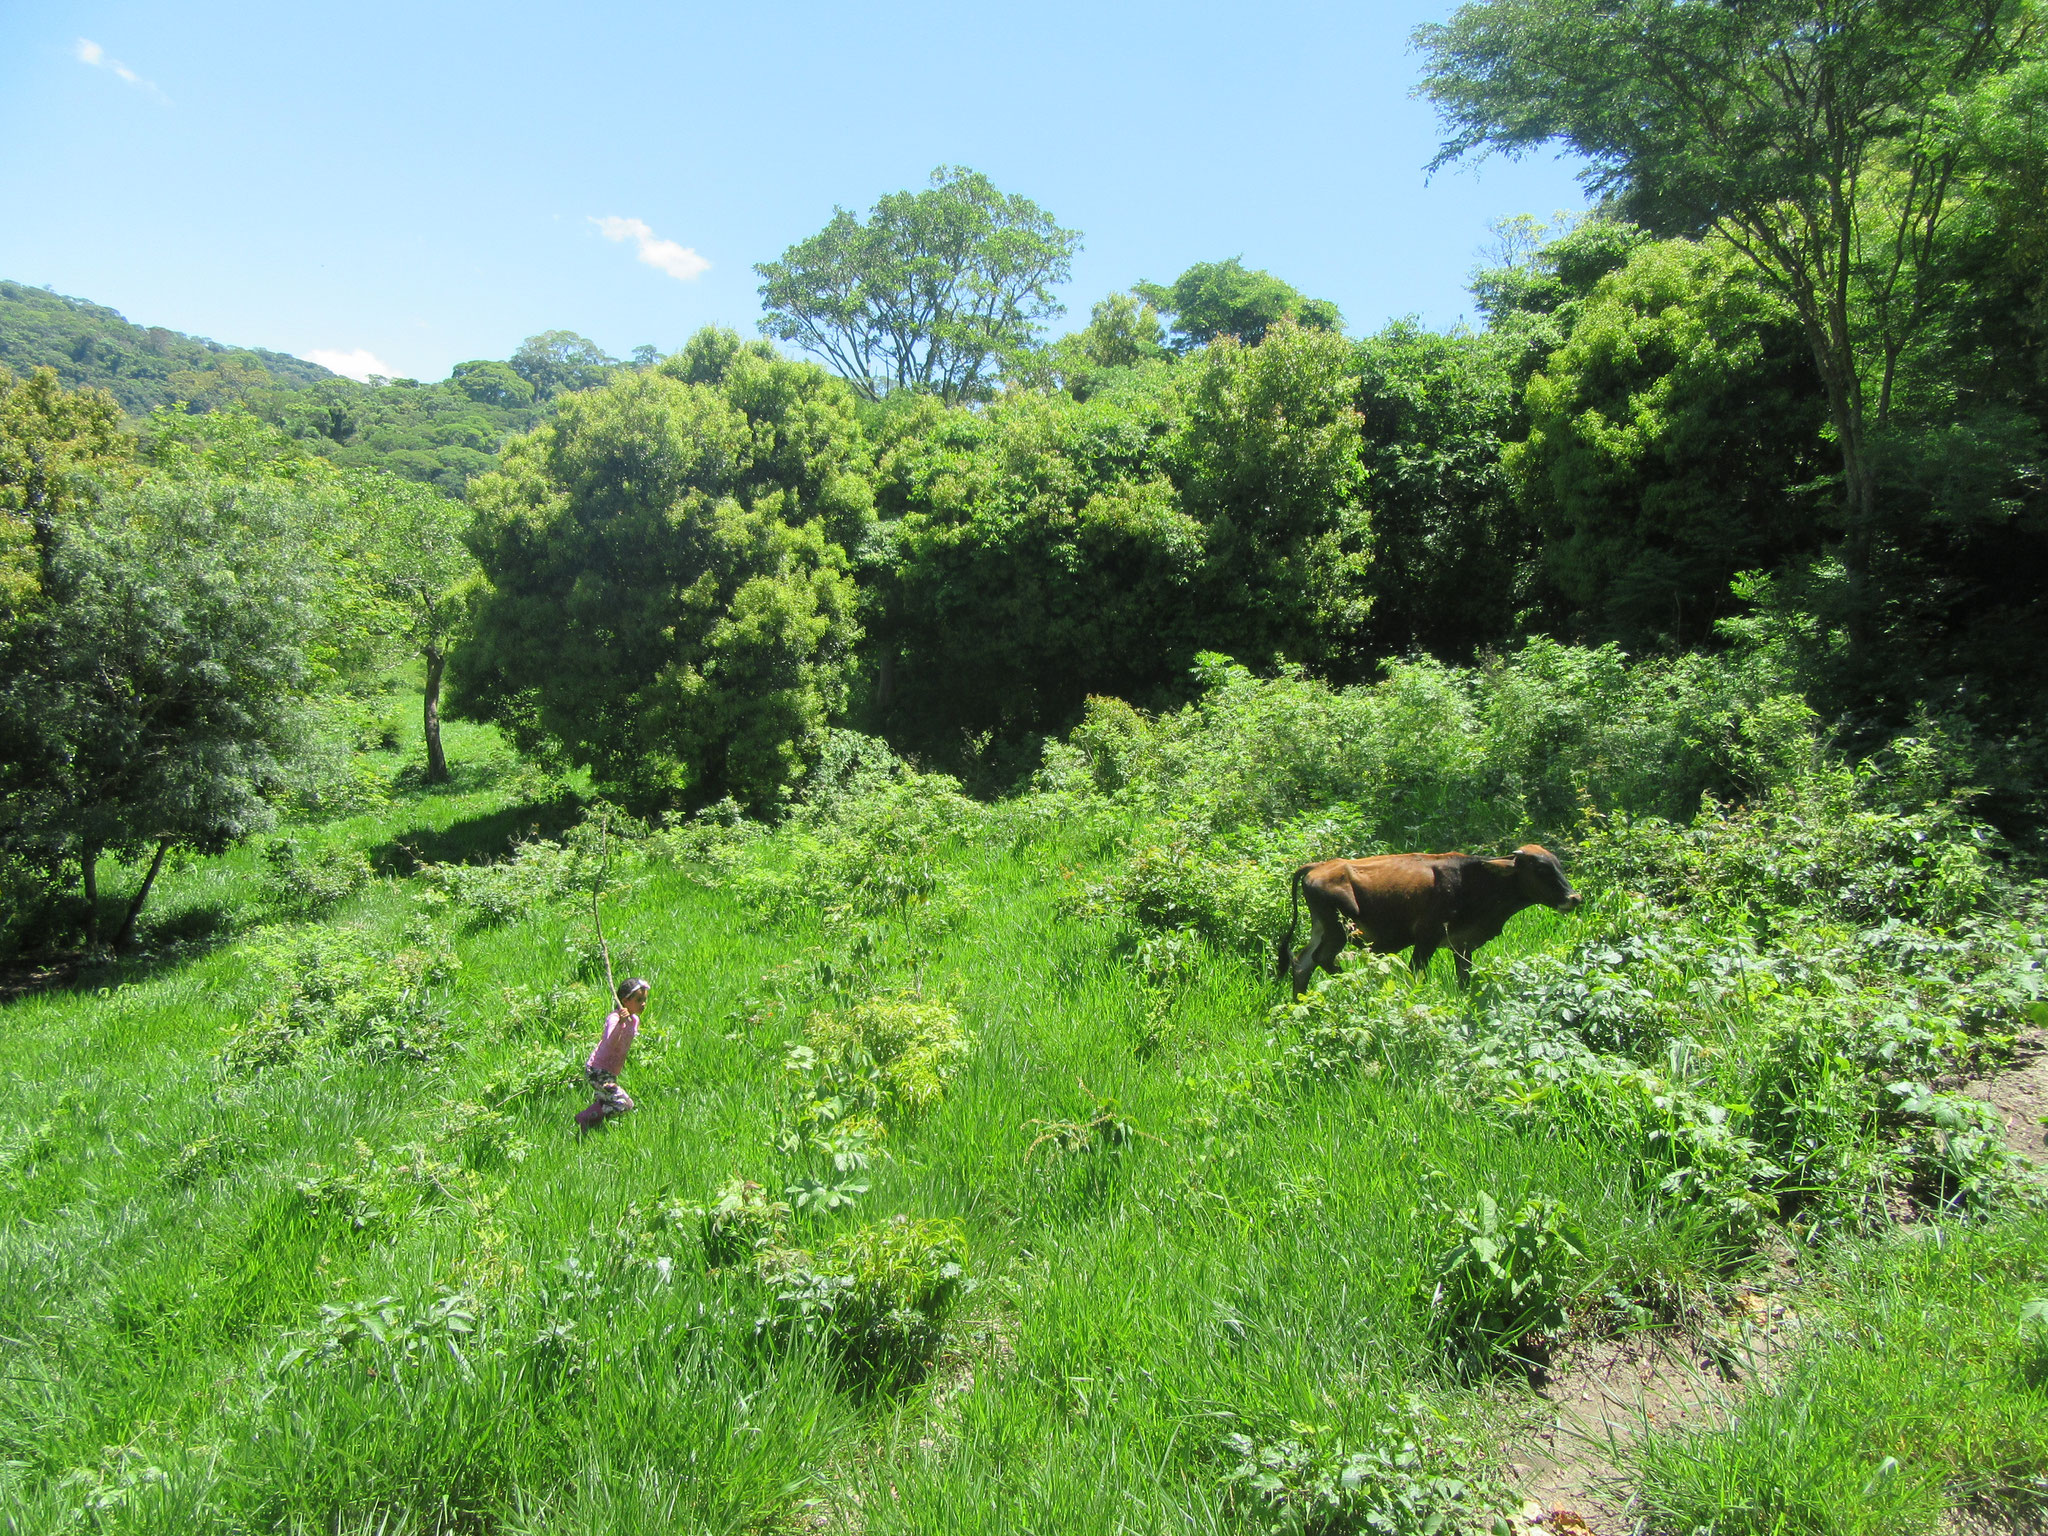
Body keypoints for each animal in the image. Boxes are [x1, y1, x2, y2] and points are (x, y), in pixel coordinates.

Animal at [1277, 843, 1581, 999]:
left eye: (1558, 865)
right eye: (1540, 869)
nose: (1574, 898)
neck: (1475, 880)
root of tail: (1317, 867)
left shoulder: (1463, 944)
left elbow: (1464, 978)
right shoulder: (1427, 939)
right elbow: (1417, 974)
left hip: (1322, 928)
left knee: (1303, 963)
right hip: (1338, 931)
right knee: (1322, 960)